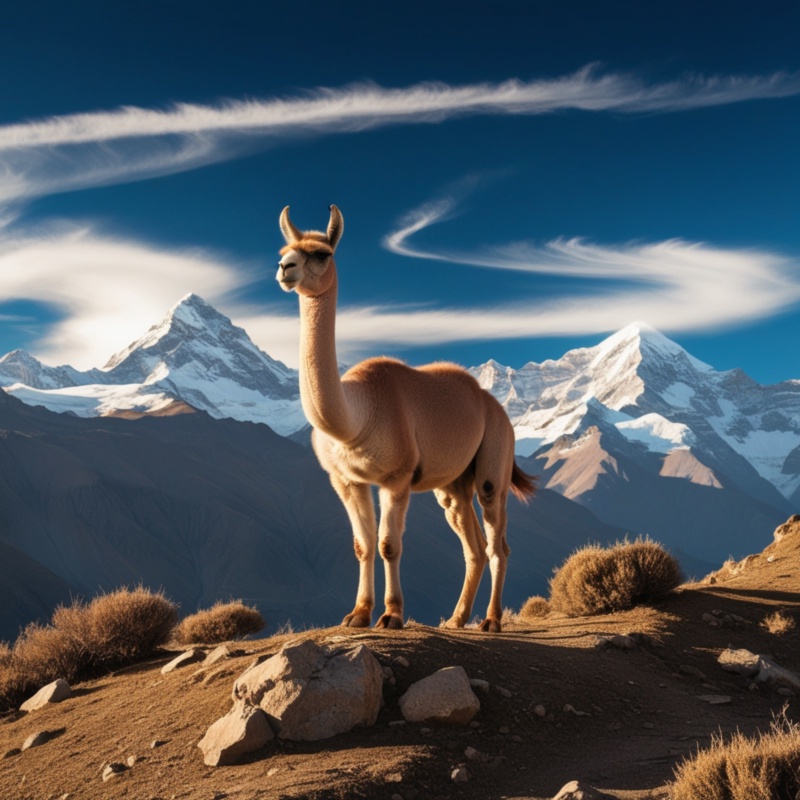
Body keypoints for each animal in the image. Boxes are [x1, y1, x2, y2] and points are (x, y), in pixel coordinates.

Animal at [276, 205, 535, 632]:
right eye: (284, 250)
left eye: (323, 253)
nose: (285, 268)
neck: (355, 418)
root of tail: (494, 407)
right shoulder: (346, 480)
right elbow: (362, 546)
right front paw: (357, 614)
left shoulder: (395, 478)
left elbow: (388, 544)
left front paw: (392, 615)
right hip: (452, 486)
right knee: (475, 546)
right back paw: (456, 619)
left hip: (493, 465)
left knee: (499, 544)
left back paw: (491, 622)